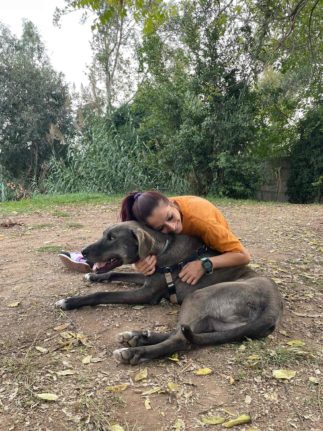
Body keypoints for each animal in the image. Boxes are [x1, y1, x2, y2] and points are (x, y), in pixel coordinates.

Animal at [55, 221, 284, 366]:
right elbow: (115, 273)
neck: (161, 249)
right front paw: (94, 277)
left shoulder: (147, 294)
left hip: (198, 296)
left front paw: (70, 301)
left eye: (112, 238)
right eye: (105, 234)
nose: (83, 252)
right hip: (212, 320)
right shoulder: (147, 278)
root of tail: (273, 308)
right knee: (183, 333)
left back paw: (132, 352)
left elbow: (103, 295)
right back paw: (137, 337)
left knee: (180, 339)